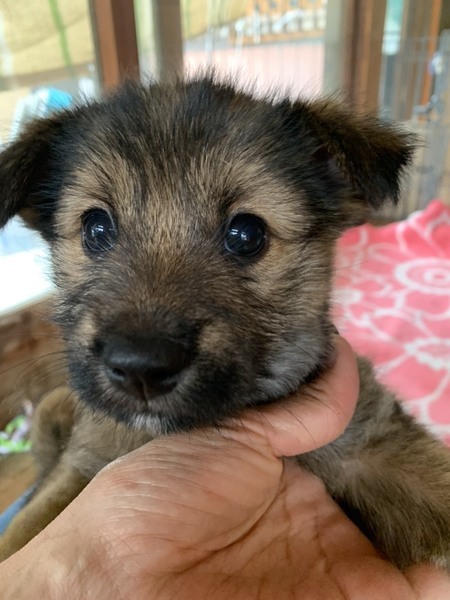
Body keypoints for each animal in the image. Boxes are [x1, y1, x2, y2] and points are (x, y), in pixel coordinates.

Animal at [0, 75, 449, 568]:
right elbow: (26, 531)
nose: (140, 366)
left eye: (246, 234)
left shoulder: (372, 442)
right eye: (96, 228)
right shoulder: (81, 464)